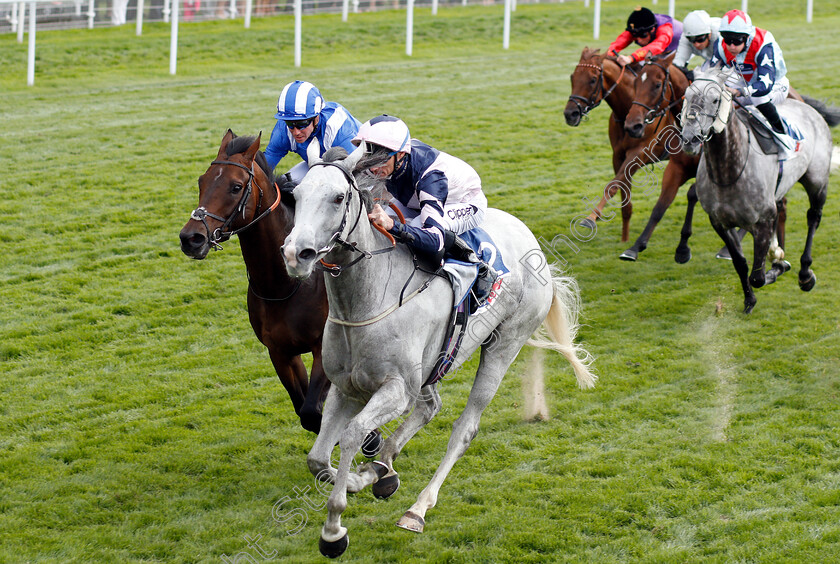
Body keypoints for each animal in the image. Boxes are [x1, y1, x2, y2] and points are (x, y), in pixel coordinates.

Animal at [179, 130, 330, 434]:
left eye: (236, 187)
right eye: (201, 181)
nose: (191, 238)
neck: (283, 285)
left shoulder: (325, 347)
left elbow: (315, 410)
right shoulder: (281, 353)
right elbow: (306, 412)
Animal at [278, 144, 592, 556]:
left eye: (339, 197)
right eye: (296, 196)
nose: (296, 254)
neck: (368, 301)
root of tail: (534, 243)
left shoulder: (396, 390)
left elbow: (353, 434)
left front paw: (334, 529)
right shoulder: (346, 389)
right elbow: (317, 458)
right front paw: (361, 477)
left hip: (503, 346)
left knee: (464, 429)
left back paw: (417, 508)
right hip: (435, 364)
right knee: (430, 407)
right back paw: (383, 470)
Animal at [684, 68, 832, 316]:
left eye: (714, 99)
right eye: (685, 97)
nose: (690, 137)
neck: (728, 173)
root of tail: (806, 106)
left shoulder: (762, 220)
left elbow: (758, 276)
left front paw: (777, 267)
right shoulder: (719, 222)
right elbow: (741, 264)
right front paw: (749, 299)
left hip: (817, 180)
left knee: (813, 218)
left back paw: (805, 274)